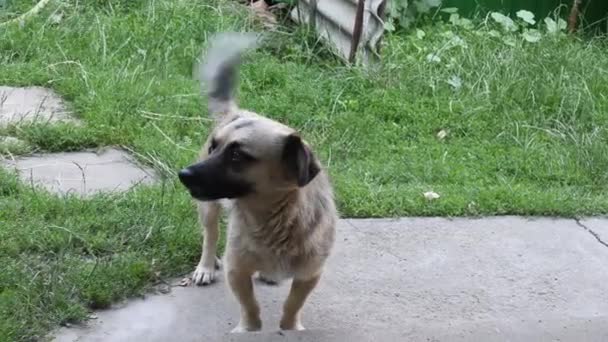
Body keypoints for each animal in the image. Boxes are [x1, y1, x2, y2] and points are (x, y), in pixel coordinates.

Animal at [177, 33, 338, 332]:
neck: (275, 220)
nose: (183, 174)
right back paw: (205, 267)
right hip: (208, 209)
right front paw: (249, 328)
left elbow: (293, 304)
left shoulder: (309, 274)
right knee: (210, 235)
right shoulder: (237, 270)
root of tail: (239, 110)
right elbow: (250, 306)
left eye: (237, 155)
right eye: (214, 148)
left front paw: (289, 327)